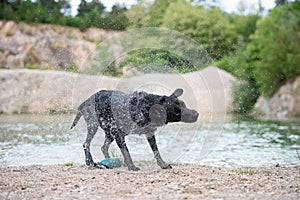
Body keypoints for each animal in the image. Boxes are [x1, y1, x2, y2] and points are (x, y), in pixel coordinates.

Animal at [71, 88, 199, 170]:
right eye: (177, 112)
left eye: (184, 104)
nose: (196, 114)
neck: (145, 108)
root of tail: (85, 102)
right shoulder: (118, 133)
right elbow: (127, 152)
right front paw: (131, 166)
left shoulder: (149, 134)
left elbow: (157, 152)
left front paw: (163, 165)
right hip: (94, 126)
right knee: (86, 144)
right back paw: (90, 161)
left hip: (108, 133)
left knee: (103, 147)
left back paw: (109, 162)